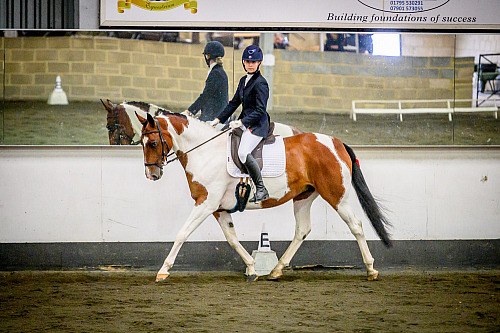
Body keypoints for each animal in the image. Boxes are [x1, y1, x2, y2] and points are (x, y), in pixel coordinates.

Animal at [137, 113, 390, 282]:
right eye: (141, 143)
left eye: (153, 142)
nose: (152, 174)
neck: (205, 152)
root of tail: (335, 142)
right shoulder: (219, 209)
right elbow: (232, 239)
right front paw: (251, 268)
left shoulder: (205, 204)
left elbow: (182, 233)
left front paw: (163, 270)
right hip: (304, 197)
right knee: (302, 230)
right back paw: (277, 270)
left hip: (337, 196)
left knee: (356, 225)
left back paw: (371, 269)